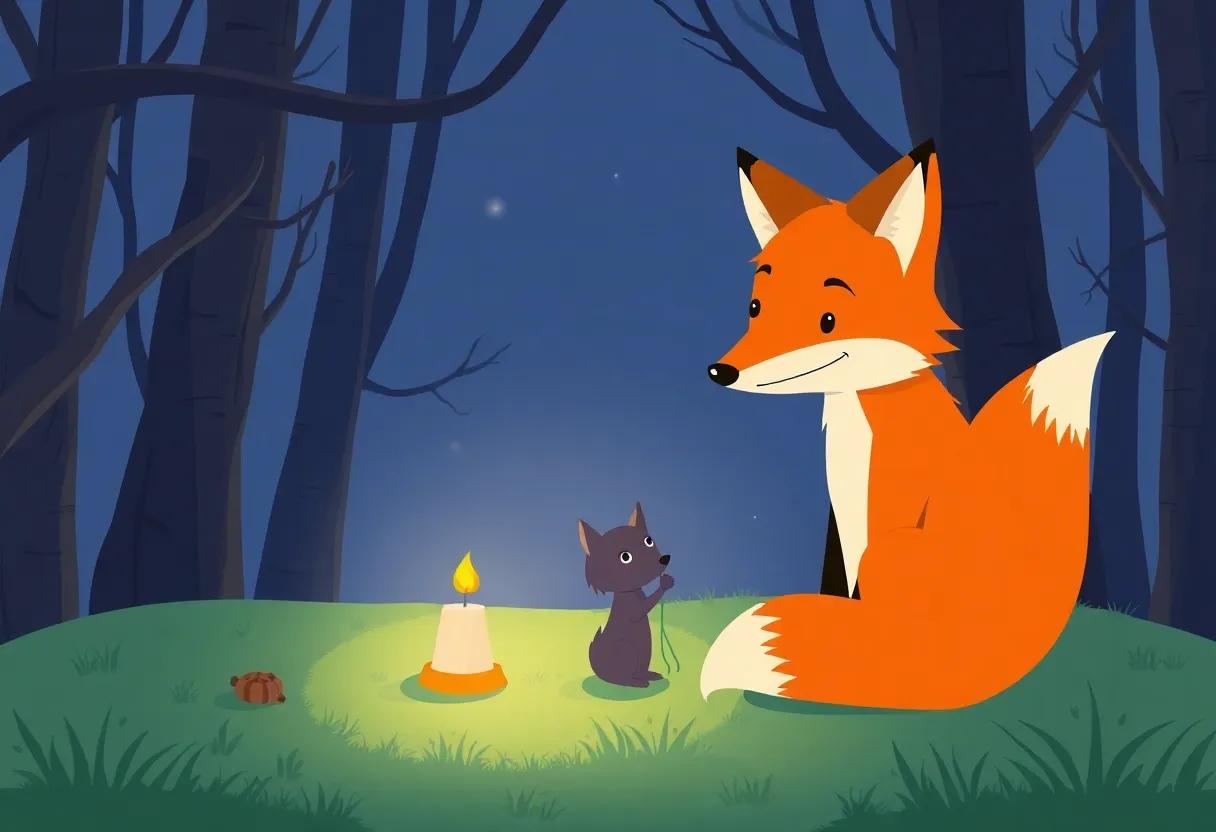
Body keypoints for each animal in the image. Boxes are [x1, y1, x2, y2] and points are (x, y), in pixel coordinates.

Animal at [699, 141, 1113, 710]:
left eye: (828, 320)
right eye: (755, 308)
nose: (721, 372)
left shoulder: (884, 511)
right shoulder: (840, 528)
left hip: (893, 554)